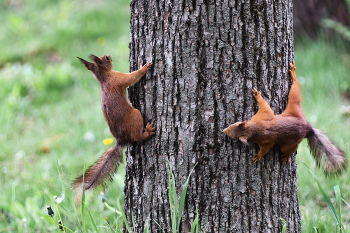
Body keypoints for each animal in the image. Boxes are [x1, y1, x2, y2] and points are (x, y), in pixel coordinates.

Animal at [76, 55, 155, 202]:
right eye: (106, 59)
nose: (110, 56)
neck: (104, 78)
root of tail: (121, 140)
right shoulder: (118, 78)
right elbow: (131, 77)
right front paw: (144, 68)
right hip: (135, 115)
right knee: (137, 137)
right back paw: (147, 132)